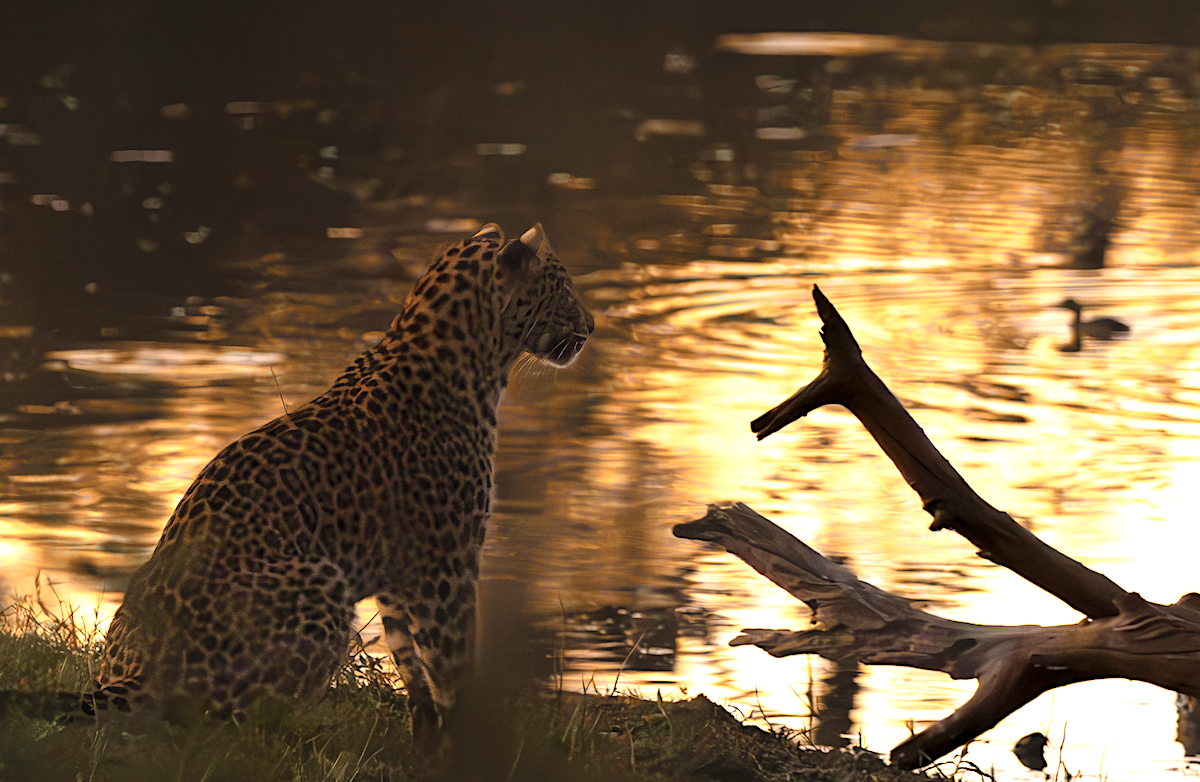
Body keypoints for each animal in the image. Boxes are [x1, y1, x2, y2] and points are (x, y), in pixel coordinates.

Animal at [90, 223, 593, 733]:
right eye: (566, 290)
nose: (591, 327)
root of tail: (139, 671)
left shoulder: (399, 574)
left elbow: (409, 661)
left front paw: (427, 731)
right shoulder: (447, 567)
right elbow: (453, 666)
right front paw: (468, 731)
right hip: (322, 583)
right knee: (232, 720)